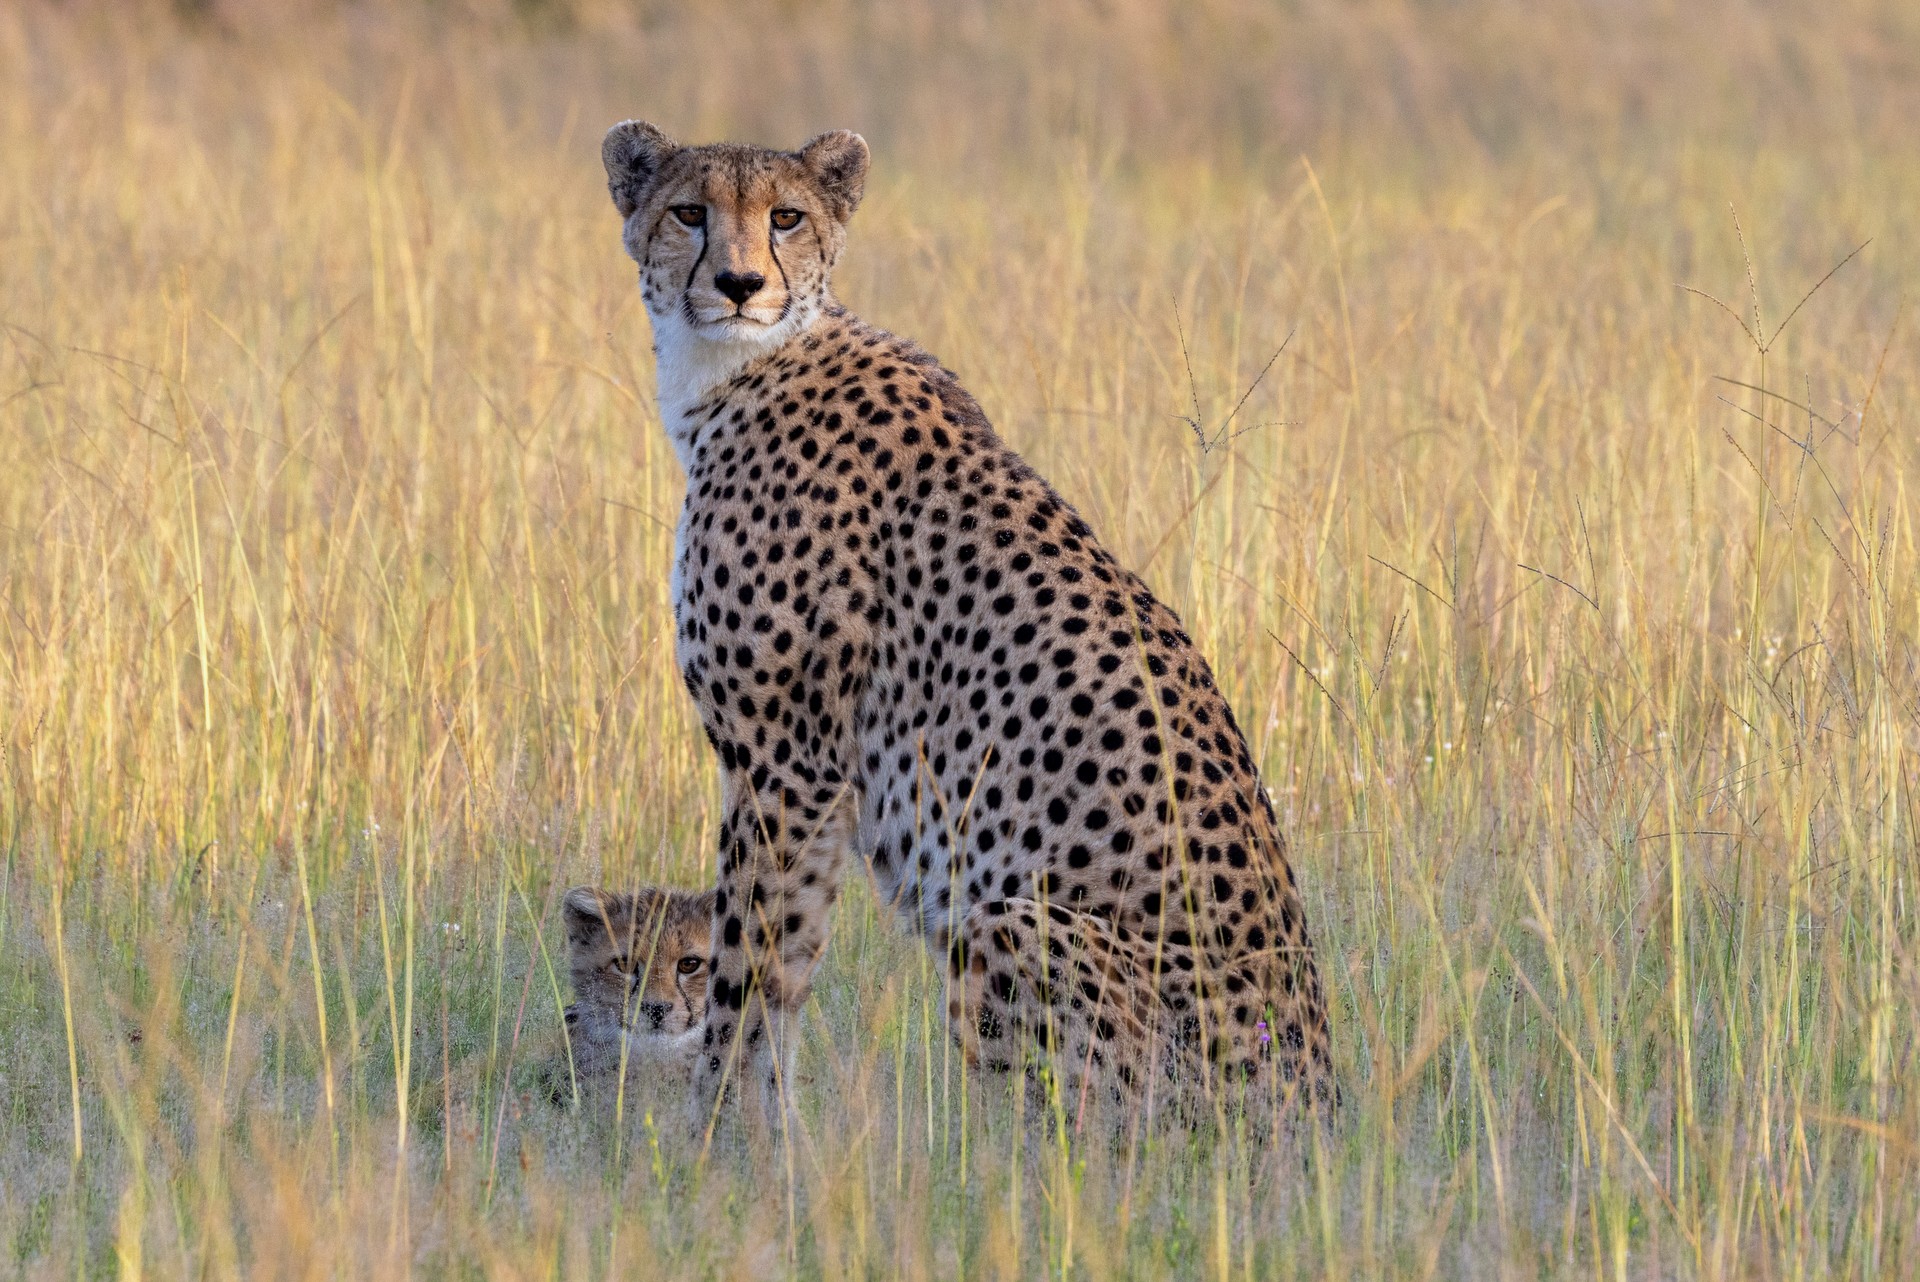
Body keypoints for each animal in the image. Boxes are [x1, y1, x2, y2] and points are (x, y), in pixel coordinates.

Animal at [599, 119, 1336, 1130]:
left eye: (786, 217)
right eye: (687, 212)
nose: (742, 284)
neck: (741, 366)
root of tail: (1320, 1106)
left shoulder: (786, 761)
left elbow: (747, 969)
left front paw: (715, 1132)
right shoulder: (815, 779)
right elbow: (784, 966)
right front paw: (766, 1135)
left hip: (1009, 922)